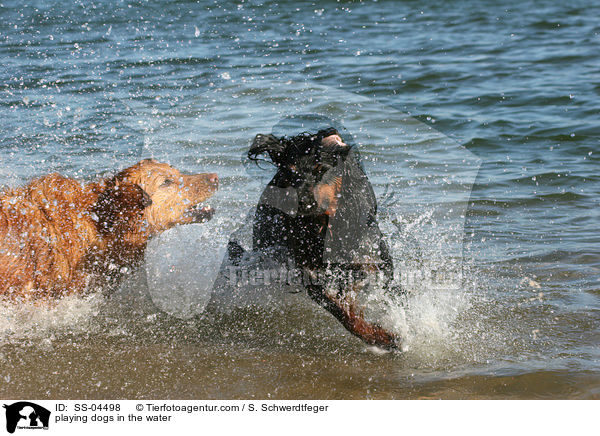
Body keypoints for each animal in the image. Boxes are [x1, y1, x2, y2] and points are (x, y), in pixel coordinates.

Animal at [236, 127, 398, 350]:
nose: (301, 201)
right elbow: (341, 310)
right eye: (289, 171)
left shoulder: (372, 257)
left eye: (320, 169)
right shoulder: (309, 271)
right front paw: (378, 336)